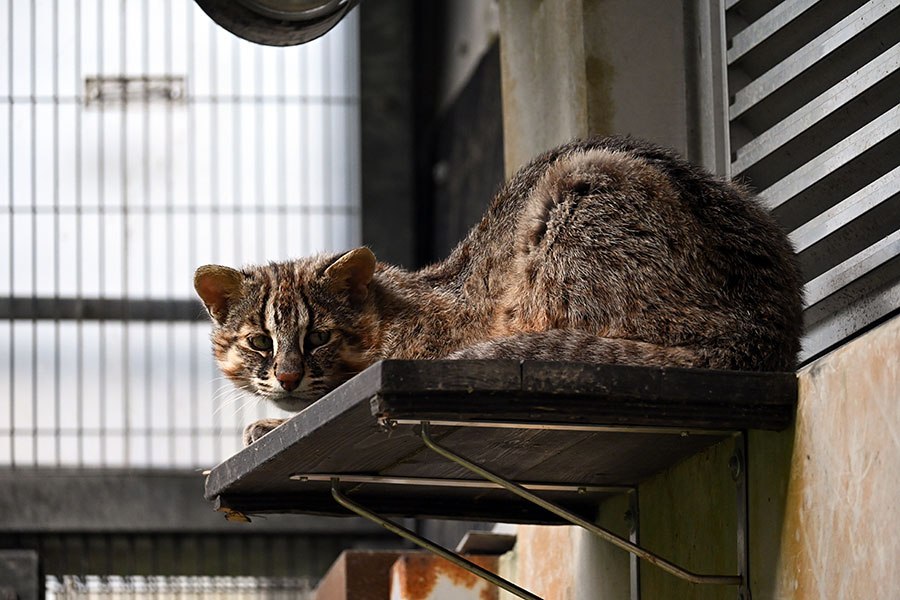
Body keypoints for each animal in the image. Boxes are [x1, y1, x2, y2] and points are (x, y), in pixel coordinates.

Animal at [195, 137, 800, 446]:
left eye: (318, 336)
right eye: (259, 341)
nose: (288, 376)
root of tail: (767, 325)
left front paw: (279, 418)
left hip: (575, 199)